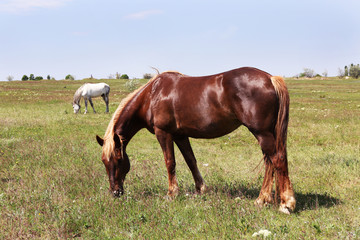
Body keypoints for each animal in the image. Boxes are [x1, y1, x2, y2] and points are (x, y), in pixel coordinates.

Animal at [95, 67, 296, 214]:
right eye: (104, 162)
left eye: (117, 159)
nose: (115, 192)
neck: (152, 95)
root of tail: (270, 78)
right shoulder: (180, 135)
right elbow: (191, 161)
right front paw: (201, 189)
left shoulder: (163, 133)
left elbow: (170, 162)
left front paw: (172, 193)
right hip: (265, 134)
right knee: (269, 163)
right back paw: (262, 200)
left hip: (262, 133)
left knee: (277, 159)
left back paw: (286, 204)